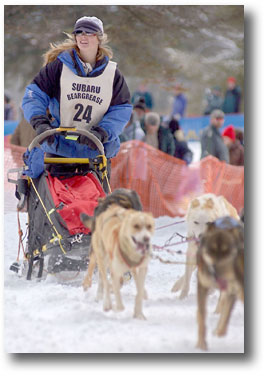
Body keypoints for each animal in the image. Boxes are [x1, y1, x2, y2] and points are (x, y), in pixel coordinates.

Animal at [195, 216, 244, 352]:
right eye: (211, 250)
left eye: (227, 252)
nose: (216, 272)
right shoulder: (202, 286)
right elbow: (202, 316)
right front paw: (201, 344)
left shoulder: (234, 290)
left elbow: (226, 314)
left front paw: (220, 332)